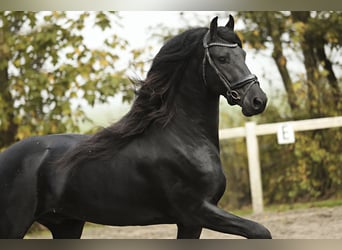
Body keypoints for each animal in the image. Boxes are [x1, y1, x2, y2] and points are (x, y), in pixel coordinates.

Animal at [0, 15, 270, 238]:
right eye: (222, 58)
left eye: (244, 56)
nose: (258, 100)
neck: (183, 138)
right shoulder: (198, 211)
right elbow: (260, 231)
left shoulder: (191, 223)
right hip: (15, 225)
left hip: (66, 224)